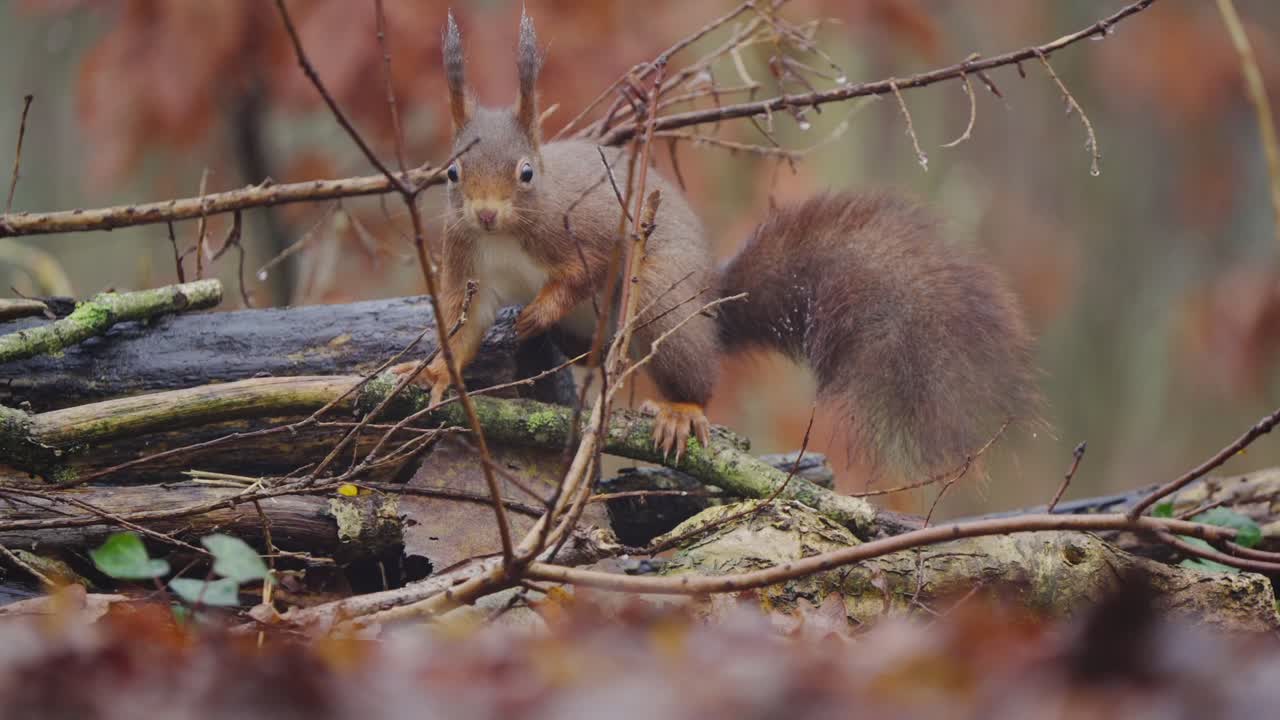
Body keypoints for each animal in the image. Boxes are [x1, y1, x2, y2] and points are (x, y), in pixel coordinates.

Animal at [395, 10, 1039, 478]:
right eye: (452, 173)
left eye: (526, 173)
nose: (484, 211)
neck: (505, 235)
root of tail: (711, 302)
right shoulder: (467, 264)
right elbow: (462, 322)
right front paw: (435, 372)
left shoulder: (595, 227)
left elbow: (592, 267)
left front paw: (541, 307)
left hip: (664, 302)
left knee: (693, 373)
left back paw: (680, 411)